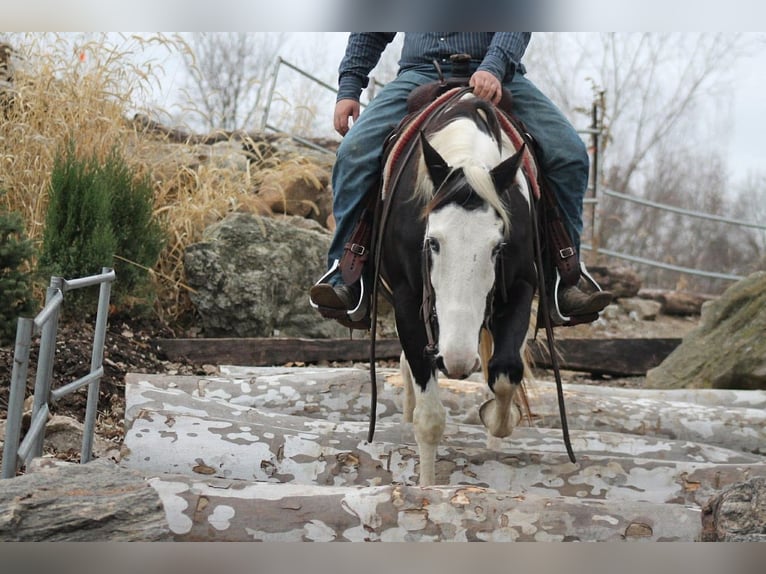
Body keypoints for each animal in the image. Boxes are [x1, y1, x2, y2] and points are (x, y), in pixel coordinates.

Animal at [376, 86, 539, 486]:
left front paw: (497, 422)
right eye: (433, 242)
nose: (457, 360)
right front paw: (426, 489)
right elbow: (429, 419)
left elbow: (505, 373)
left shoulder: (521, 286)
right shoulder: (407, 300)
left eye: (497, 247)